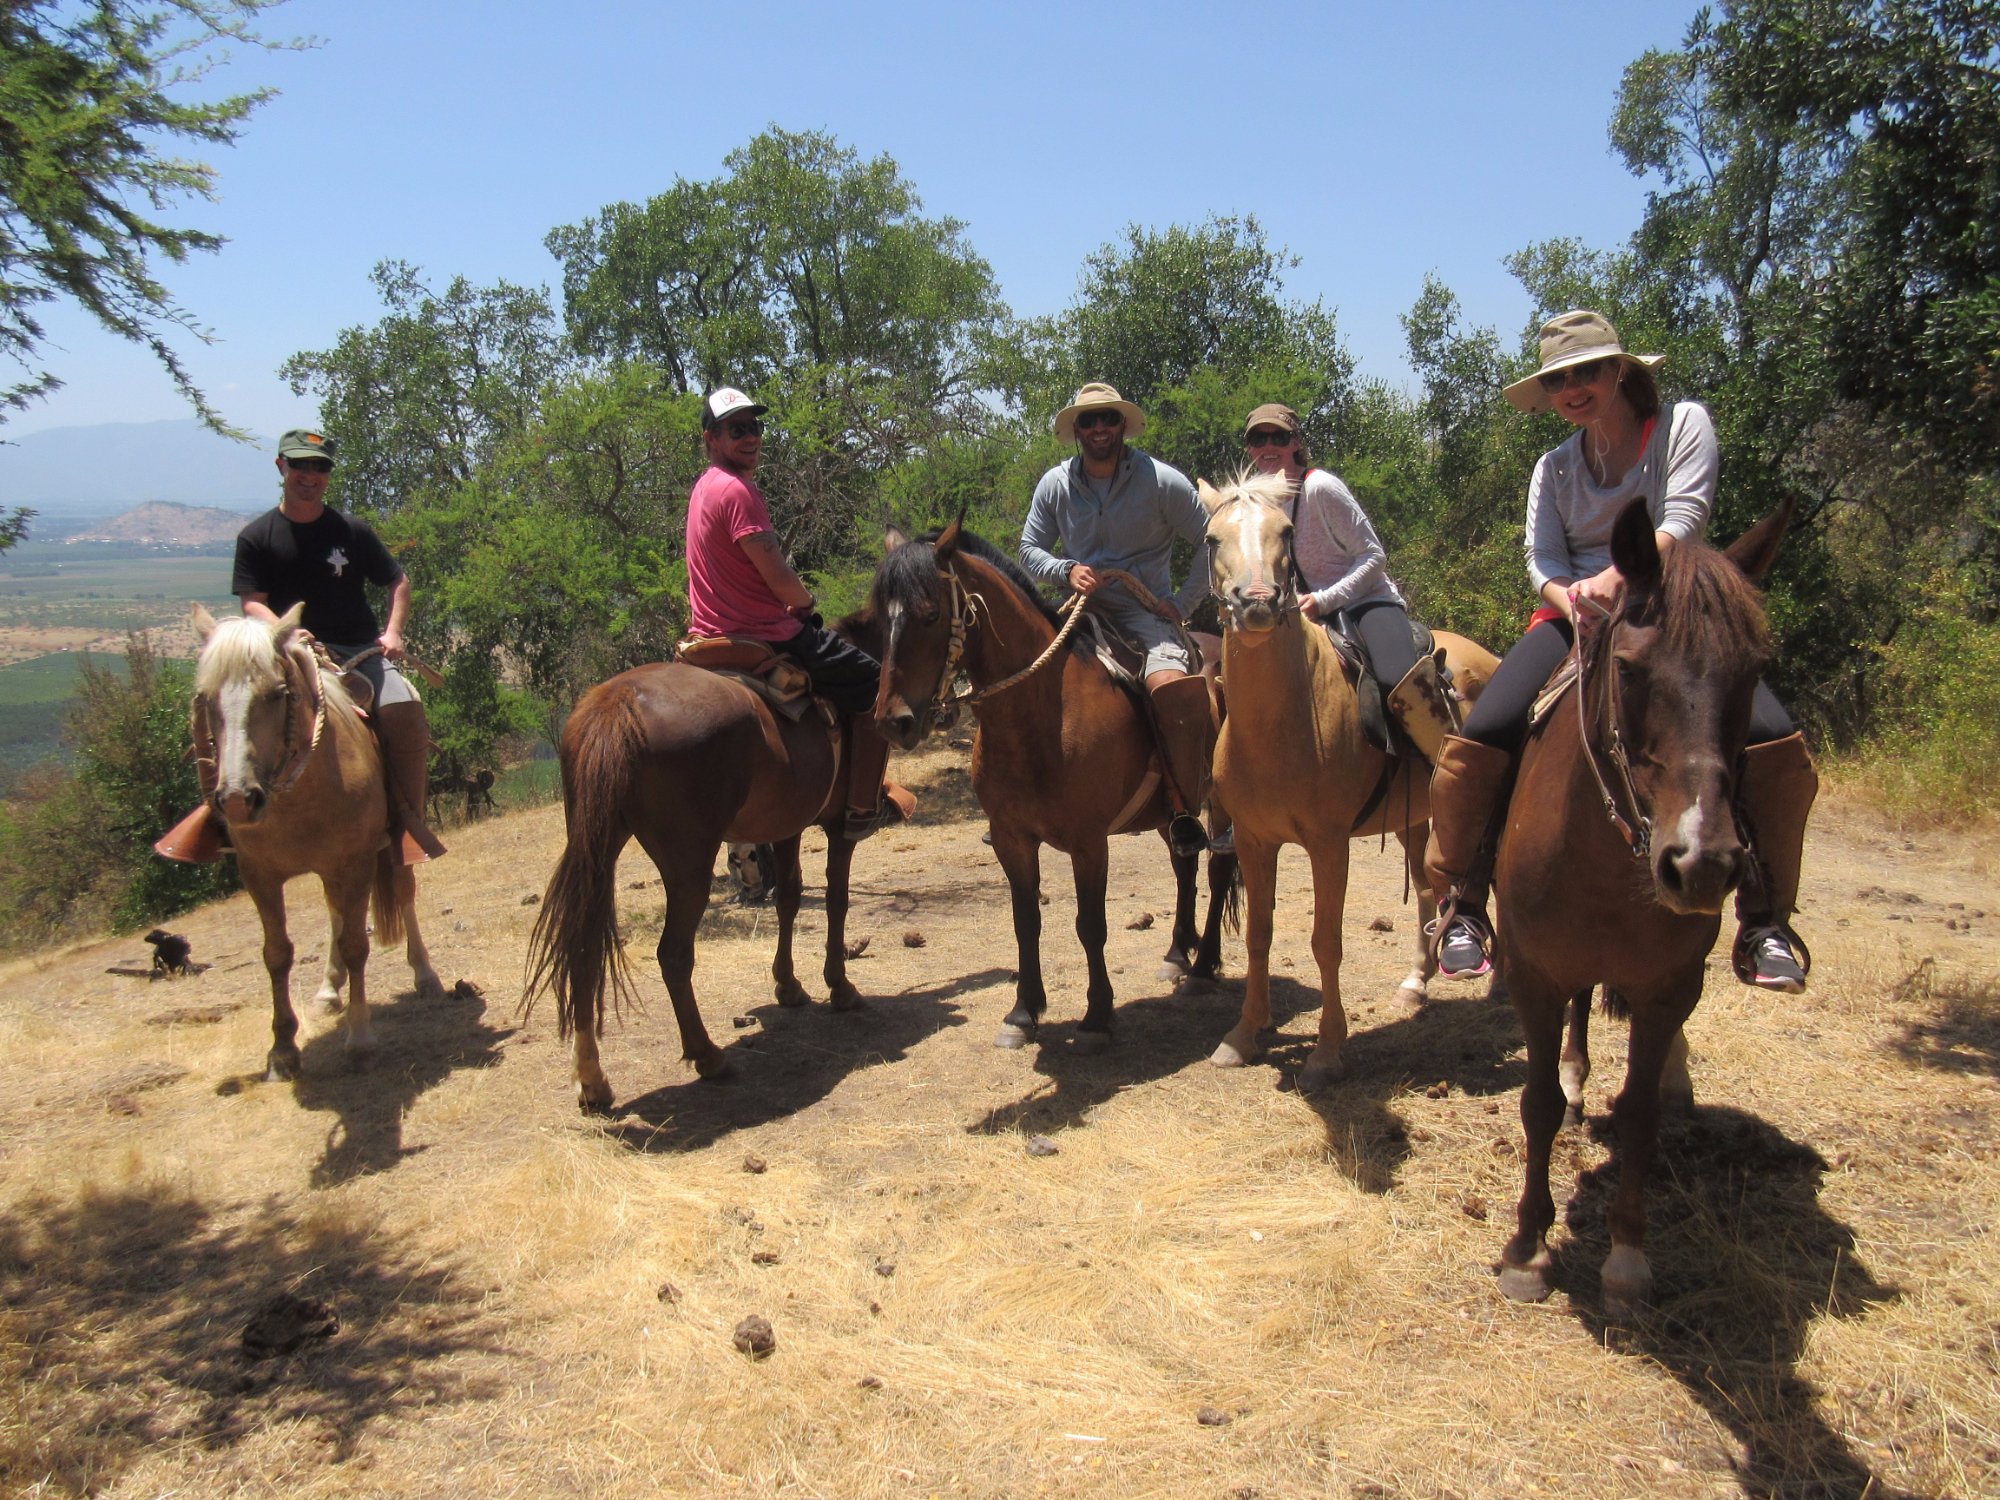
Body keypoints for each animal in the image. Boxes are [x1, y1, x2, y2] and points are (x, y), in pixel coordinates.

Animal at [188, 600, 442, 1080]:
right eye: (207, 700)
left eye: (276, 693)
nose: (237, 800)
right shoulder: (259, 875)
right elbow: (277, 953)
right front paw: (282, 1048)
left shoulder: (354, 862)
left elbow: (357, 945)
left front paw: (360, 1039)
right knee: (335, 913)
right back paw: (328, 988)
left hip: (395, 841)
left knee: (402, 893)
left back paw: (425, 975)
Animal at [524, 612, 884, 1120]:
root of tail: (618, 704)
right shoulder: (836, 827)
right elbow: (836, 899)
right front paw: (840, 986)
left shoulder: (786, 825)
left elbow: (789, 899)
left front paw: (789, 986)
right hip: (688, 865)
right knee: (673, 956)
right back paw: (707, 1055)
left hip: (597, 848)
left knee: (583, 948)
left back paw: (592, 1081)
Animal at [872, 524, 1232, 1048]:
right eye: (882, 619)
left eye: (931, 614)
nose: (893, 722)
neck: (1041, 715)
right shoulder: (1012, 840)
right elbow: (1027, 922)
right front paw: (1023, 1012)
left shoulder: (1089, 843)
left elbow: (1090, 925)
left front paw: (1098, 1014)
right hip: (1171, 814)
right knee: (1184, 866)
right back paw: (1177, 955)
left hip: (1225, 804)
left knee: (1219, 871)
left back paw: (1203, 968)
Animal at [1192, 470, 1496, 1096]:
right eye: (1212, 538)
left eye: (1285, 531)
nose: (1257, 604)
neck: (1281, 722)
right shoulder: (1255, 843)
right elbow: (1259, 935)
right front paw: (1243, 1035)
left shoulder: (1328, 845)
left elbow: (1325, 942)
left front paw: (1327, 1052)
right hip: (1417, 819)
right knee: (1427, 887)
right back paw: (1415, 983)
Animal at [1496, 500, 1792, 1320]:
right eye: (1628, 669)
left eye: (1752, 671)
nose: (1700, 865)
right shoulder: (1532, 975)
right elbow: (1537, 1102)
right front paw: (1526, 1248)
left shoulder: (1668, 988)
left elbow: (1638, 1113)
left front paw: (1627, 1258)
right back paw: (1574, 1076)